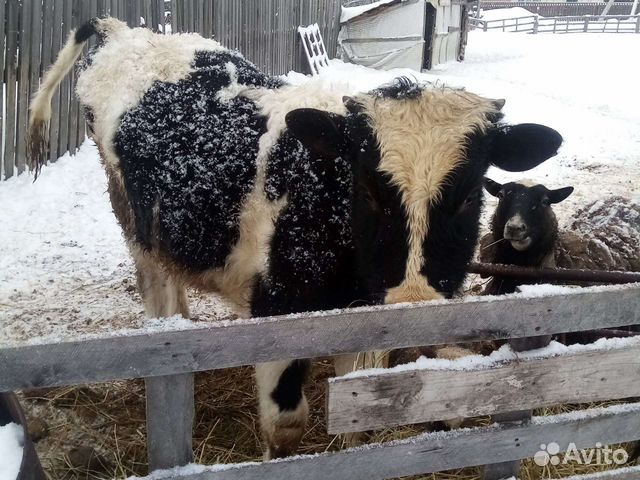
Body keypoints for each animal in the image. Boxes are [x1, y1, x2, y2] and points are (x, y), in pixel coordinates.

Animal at [28, 18, 560, 460]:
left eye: (470, 194)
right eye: (367, 188)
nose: (413, 305)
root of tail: (126, 32)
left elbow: (361, 412)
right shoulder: (276, 310)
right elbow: (285, 425)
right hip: (133, 221)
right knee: (156, 293)